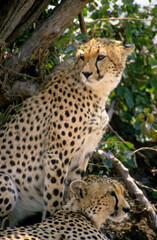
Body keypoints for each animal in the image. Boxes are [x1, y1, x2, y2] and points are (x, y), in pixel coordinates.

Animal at [0, 38, 134, 227]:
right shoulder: (57, 154)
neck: (97, 92)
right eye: (82, 57)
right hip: (6, 182)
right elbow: (54, 195)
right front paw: (52, 219)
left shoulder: (84, 153)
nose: (86, 73)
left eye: (101, 57)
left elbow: (74, 186)